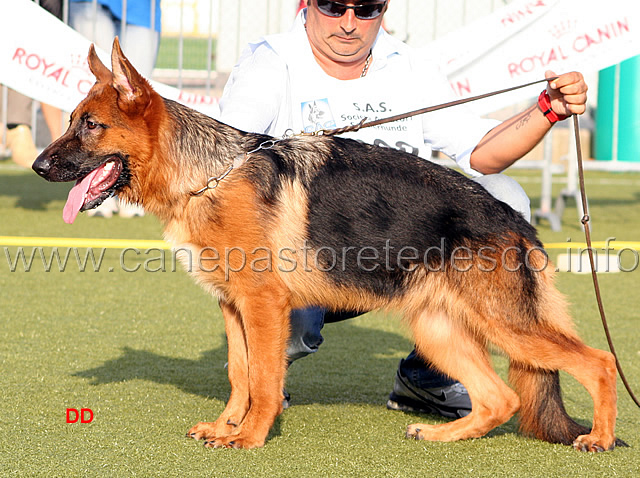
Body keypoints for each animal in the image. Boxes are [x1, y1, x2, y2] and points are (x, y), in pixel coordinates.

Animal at [32, 40, 624, 452]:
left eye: (90, 126)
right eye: (71, 121)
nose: (38, 166)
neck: (208, 175)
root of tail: (515, 220)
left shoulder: (263, 307)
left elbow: (264, 379)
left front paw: (249, 438)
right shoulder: (233, 307)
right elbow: (239, 374)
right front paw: (226, 426)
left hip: (507, 327)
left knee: (598, 361)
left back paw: (597, 437)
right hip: (439, 330)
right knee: (501, 398)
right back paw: (441, 437)